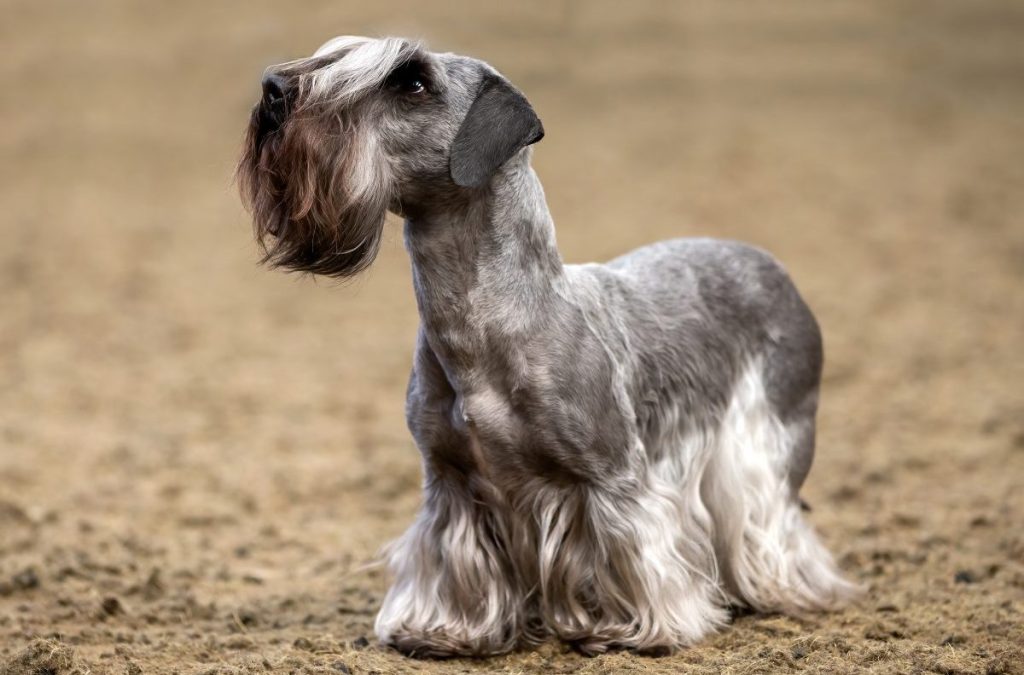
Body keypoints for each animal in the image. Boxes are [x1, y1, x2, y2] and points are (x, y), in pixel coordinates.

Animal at [234, 36, 856, 659]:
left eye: (411, 81)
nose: (274, 89)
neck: (487, 326)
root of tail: (772, 267)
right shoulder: (450, 482)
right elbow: (449, 560)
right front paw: (442, 630)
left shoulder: (612, 479)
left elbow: (632, 553)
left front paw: (631, 629)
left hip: (766, 446)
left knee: (773, 524)